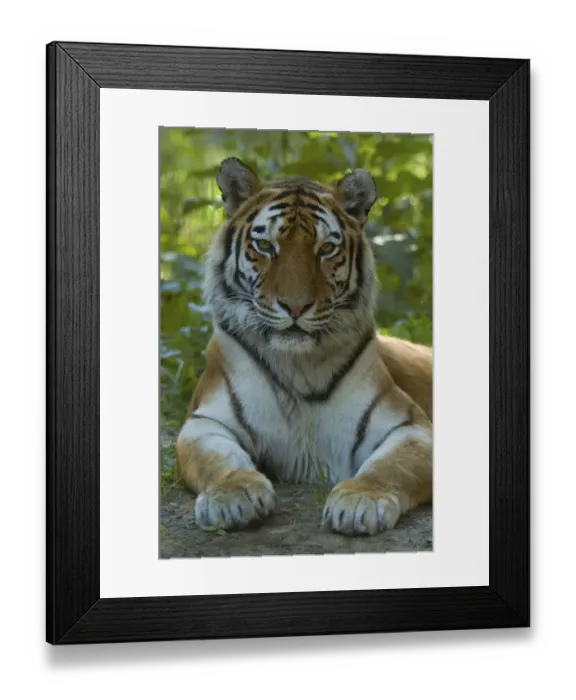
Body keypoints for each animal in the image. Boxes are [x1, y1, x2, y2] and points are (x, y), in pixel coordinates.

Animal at [175, 156, 433, 537]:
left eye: (326, 249)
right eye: (266, 246)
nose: (295, 307)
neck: (298, 365)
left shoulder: (410, 426)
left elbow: (388, 467)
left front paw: (361, 499)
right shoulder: (205, 422)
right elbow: (219, 461)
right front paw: (233, 495)